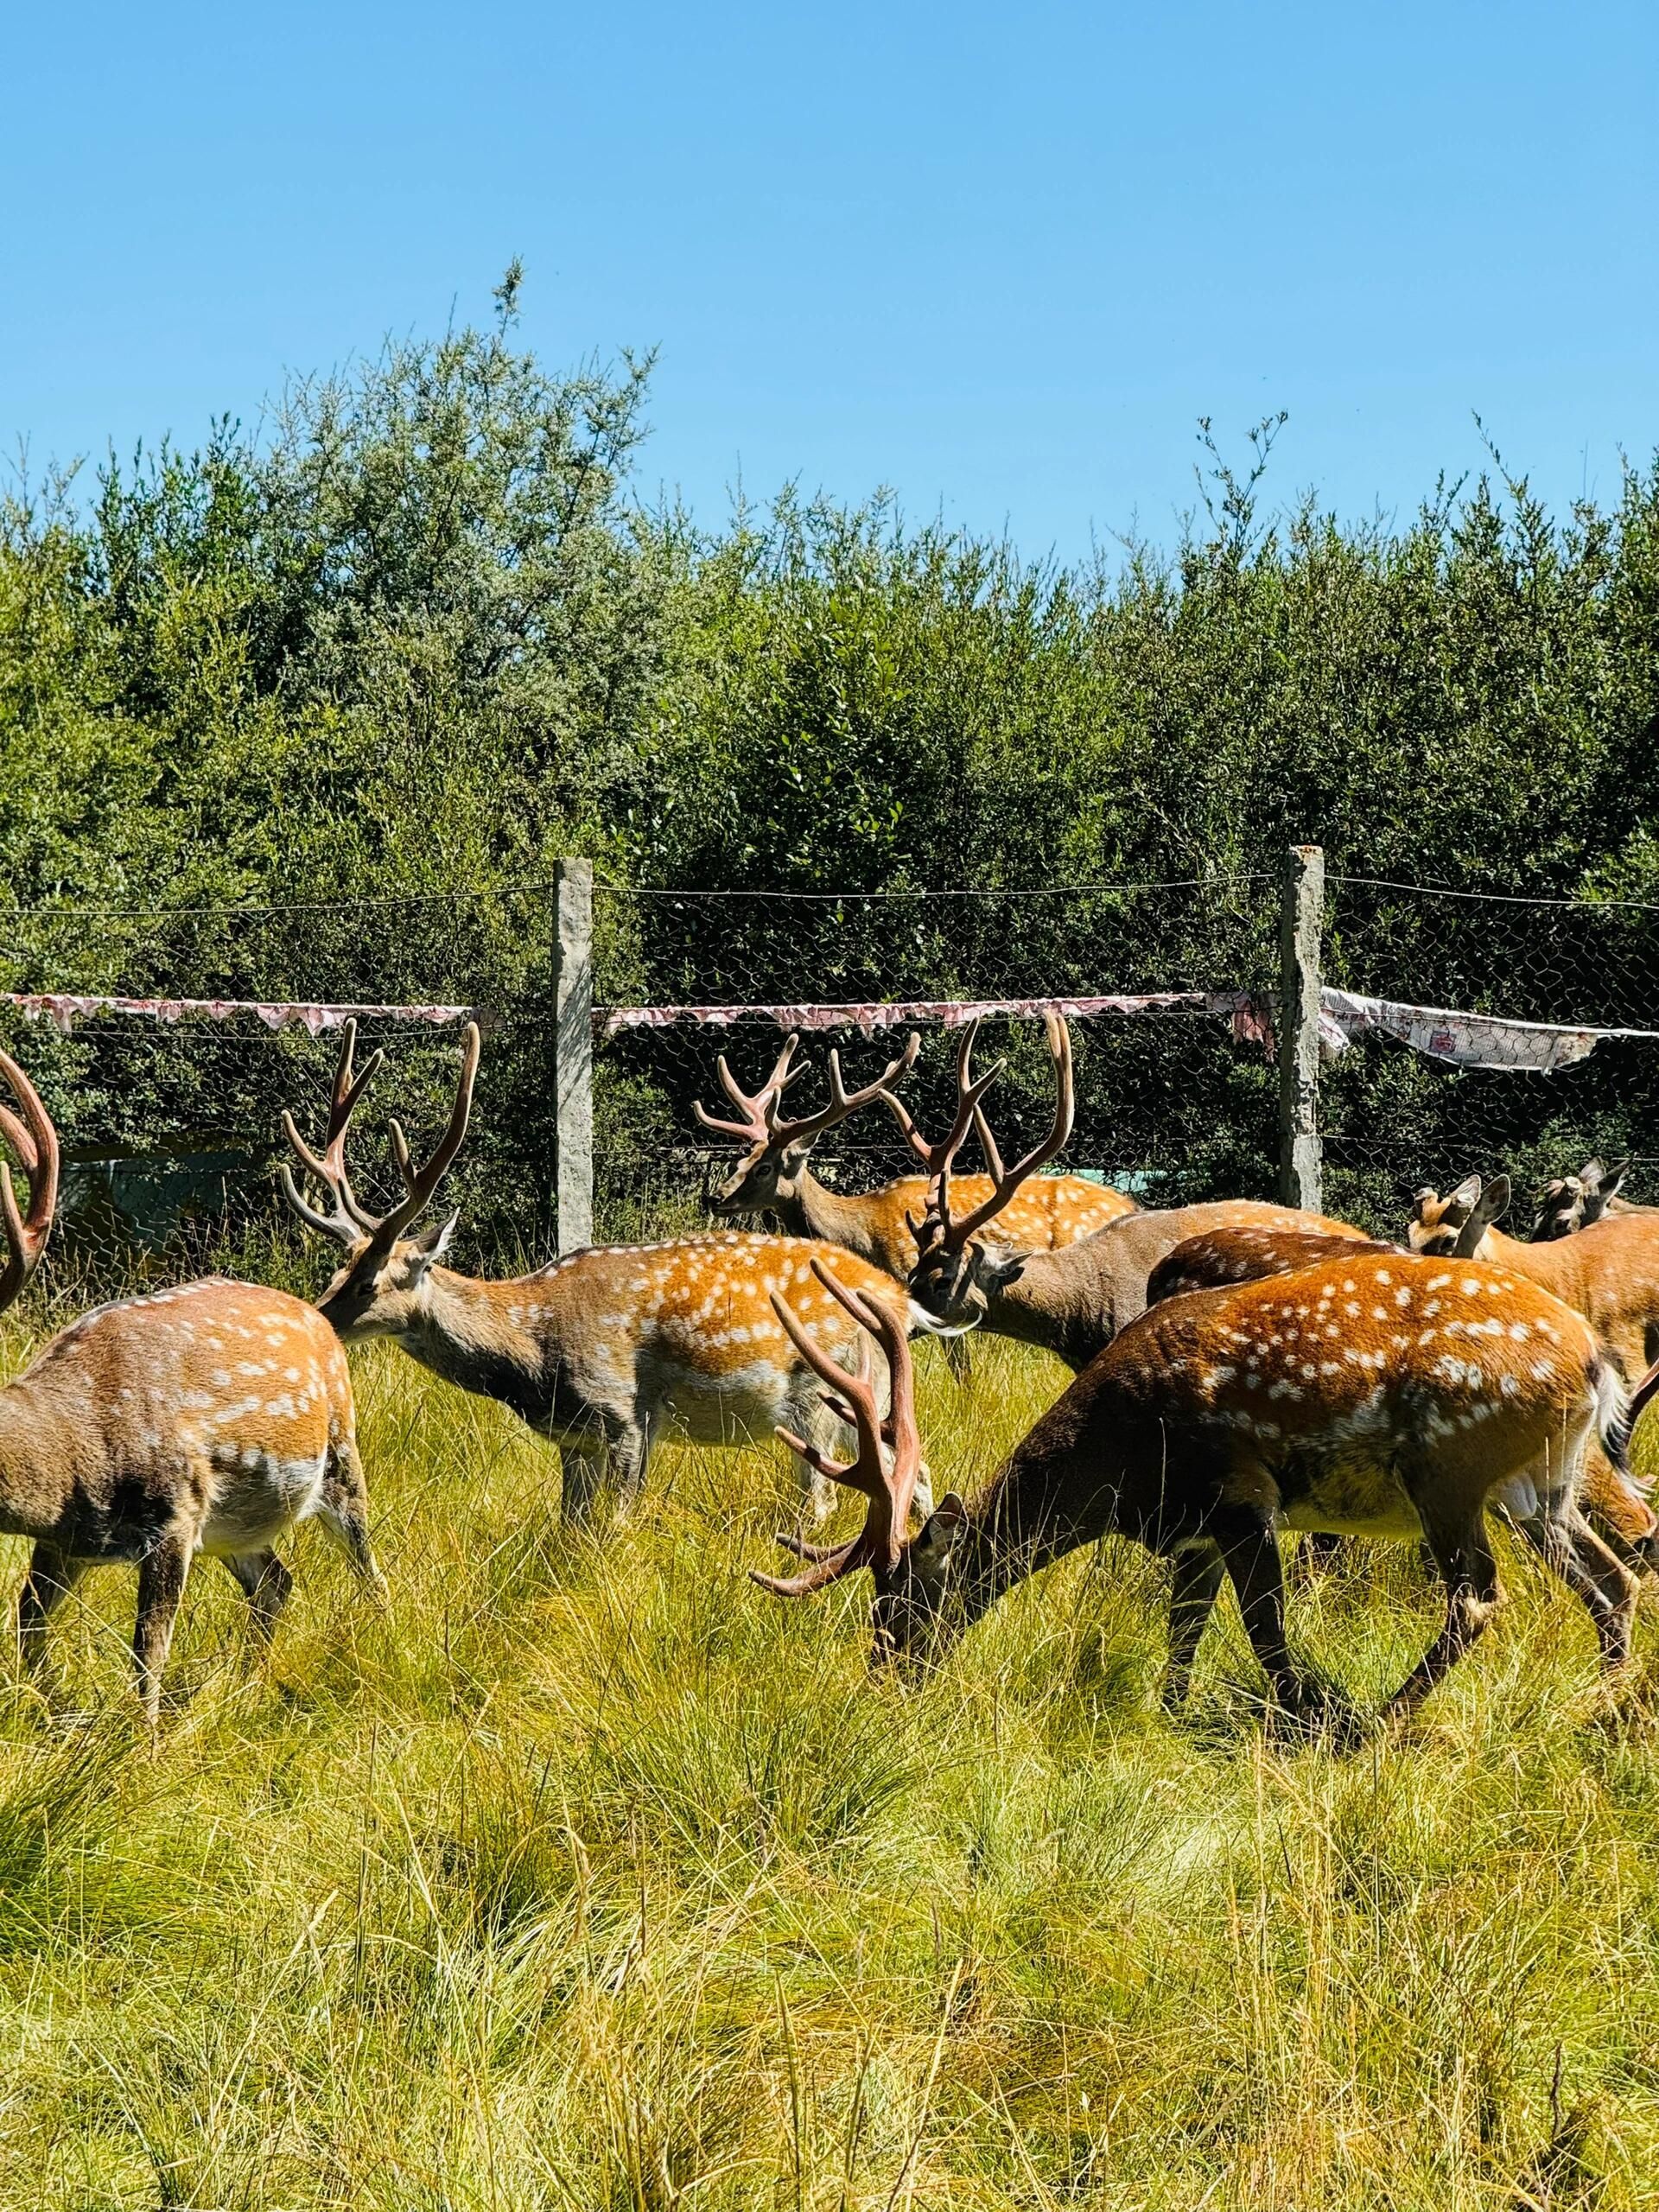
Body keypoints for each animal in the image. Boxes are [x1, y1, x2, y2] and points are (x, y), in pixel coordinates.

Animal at [0, 1048, 378, 1724]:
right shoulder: (64, 1541)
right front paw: (53, 1719)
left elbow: (148, 1654)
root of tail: (318, 1315)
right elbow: (28, 1625)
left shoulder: (175, 1511)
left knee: (370, 1568)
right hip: (238, 1522)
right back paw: (248, 1688)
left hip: (340, 1448)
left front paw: (141, 1744)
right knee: (276, 1581)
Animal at [280, 1022, 945, 1524]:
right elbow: (569, 1531)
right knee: (917, 1474)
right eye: (338, 1269)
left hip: (821, 1393)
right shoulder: (573, 1440)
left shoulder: (626, 1413)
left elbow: (617, 1527)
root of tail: (899, 1297)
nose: (316, 1319)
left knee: (826, 1497)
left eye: (369, 1282)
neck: (533, 1351)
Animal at [749, 1250, 1641, 1731]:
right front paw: (1170, 1716)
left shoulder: (1238, 1494)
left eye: (903, 1602)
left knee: (1479, 1594)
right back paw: (1606, 1706)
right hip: (1540, 1488)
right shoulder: (1192, 1531)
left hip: (1450, 1466)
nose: (880, 1680)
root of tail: (1594, 1360)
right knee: (1612, 1578)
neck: (1120, 1464)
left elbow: (1267, 1633)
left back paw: (1380, 1724)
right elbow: (1181, 1638)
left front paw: (1307, 1720)